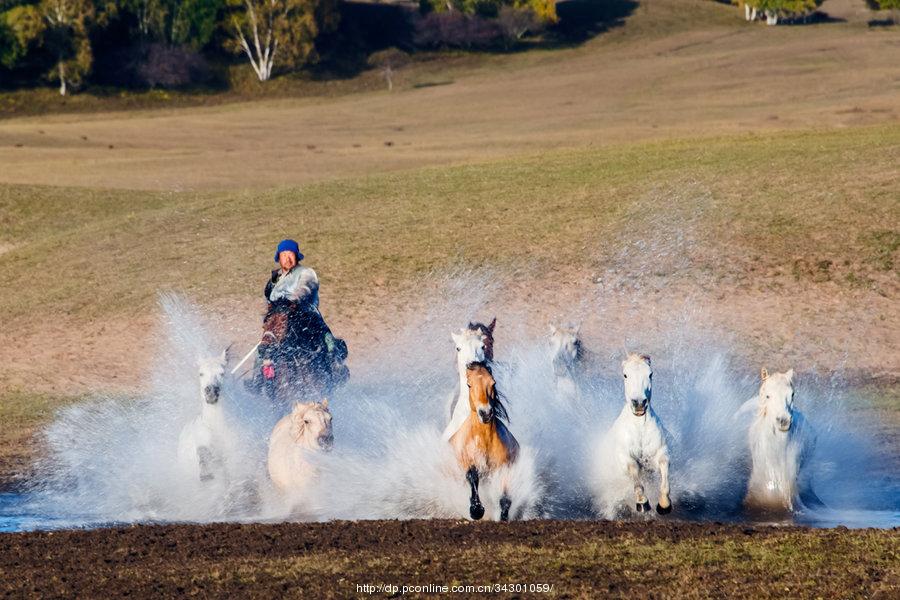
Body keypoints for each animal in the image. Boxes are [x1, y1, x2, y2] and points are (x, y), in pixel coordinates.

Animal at [446, 360, 516, 520]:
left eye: (493, 383)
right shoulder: (468, 463)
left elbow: (505, 497)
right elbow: (472, 476)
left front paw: (503, 517)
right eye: (469, 384)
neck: (484, 441)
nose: (486, 413)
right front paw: (476, 510)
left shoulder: (504, 468)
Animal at [588, 354, 672, 516]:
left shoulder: (660, 452)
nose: (639, 403)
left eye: (650, 374)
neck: (639, 429)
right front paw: (642, 503)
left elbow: (664, 469)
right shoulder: (625, 458)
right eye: (625, 375)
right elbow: (635, 473)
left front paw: (664, 505)